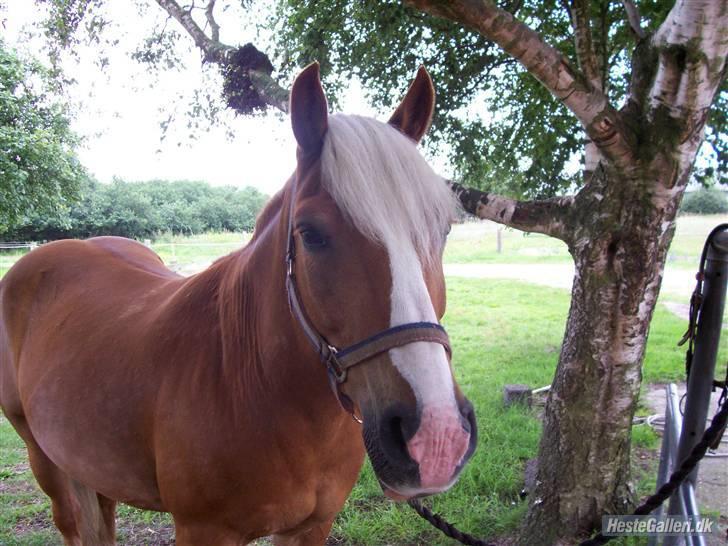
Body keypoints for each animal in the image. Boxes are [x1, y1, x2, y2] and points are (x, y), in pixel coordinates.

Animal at [0, 65, 478, 544]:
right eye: (310, 233)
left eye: (443, 230)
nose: (437, 438)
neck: (247, 379)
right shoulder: (204, 530)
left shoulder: (312, 527)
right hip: (47, 462)